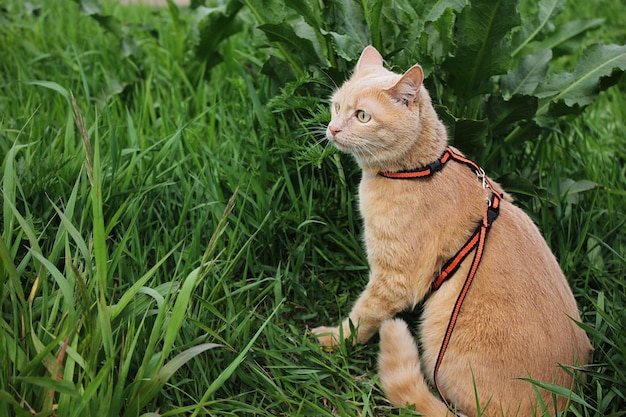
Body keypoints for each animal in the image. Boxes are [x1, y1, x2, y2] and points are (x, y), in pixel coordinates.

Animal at [312, 45, 588, 412]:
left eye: (363, 116)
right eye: (336, 106)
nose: (332, 129)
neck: (420, 169)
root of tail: (559, 403)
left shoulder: (395, 280)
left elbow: (363, 316)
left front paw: (335, 340)